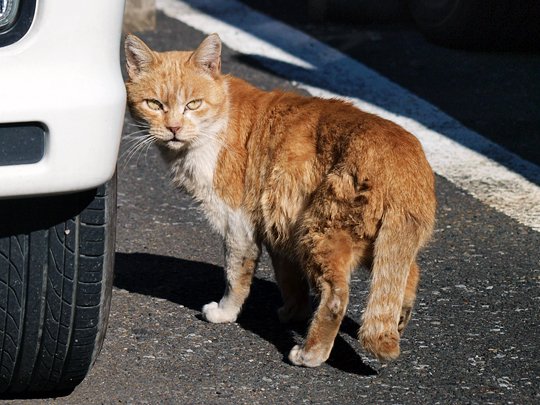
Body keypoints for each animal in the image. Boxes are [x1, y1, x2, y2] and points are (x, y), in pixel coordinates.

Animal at [125, 33, 434, 364]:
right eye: (154, 104)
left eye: (193, 104)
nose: (173, 128)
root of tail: (403, 160)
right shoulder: (278, 225)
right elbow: (289, 278)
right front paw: (293, 313)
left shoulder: (239, 225)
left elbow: (235, 275)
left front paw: (225, 313)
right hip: (361, 240)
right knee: (406, 275)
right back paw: (397, 323)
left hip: (319, 231)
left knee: (337, 296)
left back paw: (311, 353)